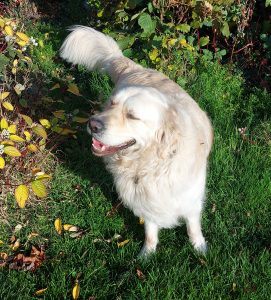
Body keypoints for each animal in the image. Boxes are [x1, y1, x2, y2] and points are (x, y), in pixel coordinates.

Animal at [60, 26, 214, 255]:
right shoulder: (143, 201)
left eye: (132, 116)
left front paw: (200, 248)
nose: (92, 124)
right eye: (112, 104)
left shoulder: (191, 199)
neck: (151, 165)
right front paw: (147, 254)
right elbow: (150, 230)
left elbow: (193, 227)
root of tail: (135, 69)